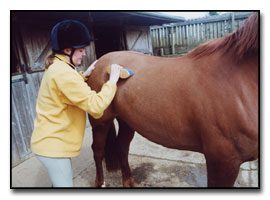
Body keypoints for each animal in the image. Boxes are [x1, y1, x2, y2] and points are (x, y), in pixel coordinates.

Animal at [87, 13, 260, 188]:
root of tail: (99, 62)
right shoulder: (223, 161)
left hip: (127, 121)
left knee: (122, 147)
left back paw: (128, 181)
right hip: (100, 122)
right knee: (97, 150)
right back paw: (100, 182)